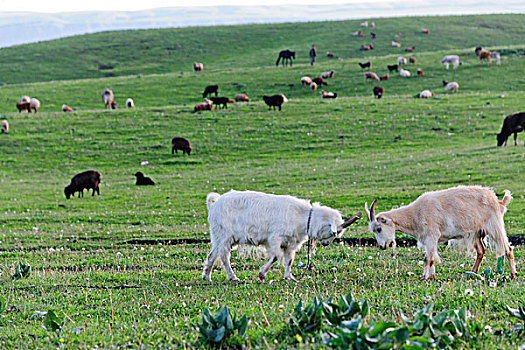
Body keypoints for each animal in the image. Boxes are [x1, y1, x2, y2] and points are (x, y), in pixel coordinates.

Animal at [203, 190, 358, 284]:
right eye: (335, 232)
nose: (326, 244)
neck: (303, 217)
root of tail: (214, 205)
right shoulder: (275, 238)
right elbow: (276, 256)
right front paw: (262, 274)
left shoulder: (290, 244)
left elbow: (289, 260)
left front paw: (289, 277)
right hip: (225, 236)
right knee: (224, 256)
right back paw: (233, 277)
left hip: (218, 237)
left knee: (212, 255)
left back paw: (206, 276)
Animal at [364, 186, 516, 282]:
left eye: (379, 229)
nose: (382, 246)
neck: (415, 214)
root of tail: (498, 201)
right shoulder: (429, 239)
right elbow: (431, 258)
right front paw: (431, 276)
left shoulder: (431, 235)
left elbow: (428, 258)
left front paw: (424, 278)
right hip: (477, 232)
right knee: (481, 251)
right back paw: (473, 273)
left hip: (494, 226)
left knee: (508, 249)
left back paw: (513, 275)